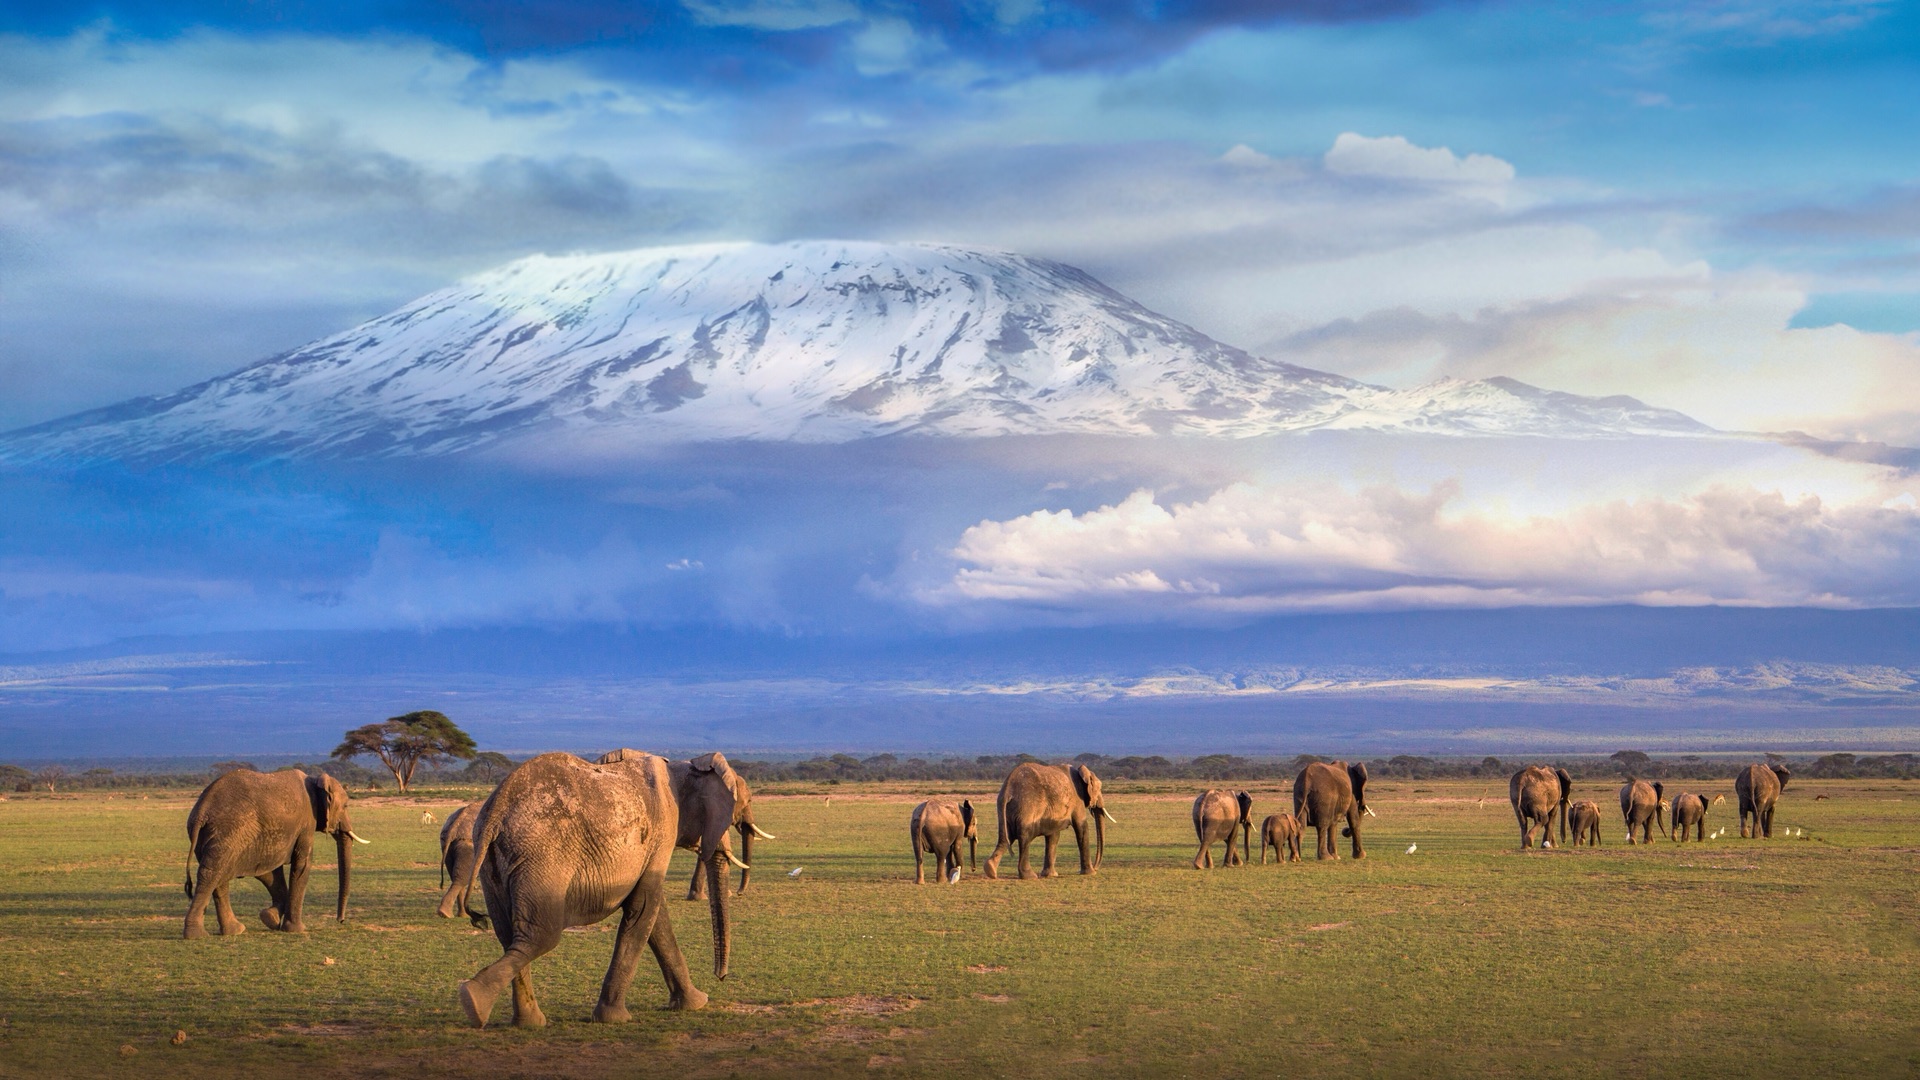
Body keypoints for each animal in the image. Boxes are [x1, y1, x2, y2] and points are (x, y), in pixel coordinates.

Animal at [184, 764, 370, 933]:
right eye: (346, 806)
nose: (340, 920)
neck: (315, 780)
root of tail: (201, 812)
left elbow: (269, 872)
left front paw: (269, 919)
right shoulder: (306, 824)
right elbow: (302, 865)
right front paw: (296, 930)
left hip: (211, 835)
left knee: (218, 878)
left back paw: (234, 931)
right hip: (227, 832)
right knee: (211, 875)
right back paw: (196, 934)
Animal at [456, 745, 741, 1022]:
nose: (721, 977)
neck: (682, 767)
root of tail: (496, 809)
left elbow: (654, 915)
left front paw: (695, 1003)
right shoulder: (663, 832)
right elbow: (644, 909)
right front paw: (614, 1018)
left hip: (492, 862)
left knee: (508, 935)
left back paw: (524, 1021)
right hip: (542, 855)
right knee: (541, 936)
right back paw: (473, 1002)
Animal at [983, 757, 1121, 876]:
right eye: (1100, 788)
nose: (1096, 867)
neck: (1082, 772)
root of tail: (1008, 789)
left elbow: (1053, 835)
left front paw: (1050, 875)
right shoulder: (1077, 799)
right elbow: (1081, 827)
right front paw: (1090, 873)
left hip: (1006, 810)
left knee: (1005, 838)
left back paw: (990, 871)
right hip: (1027, 805)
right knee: (1024, 836)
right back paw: (1029, 876)